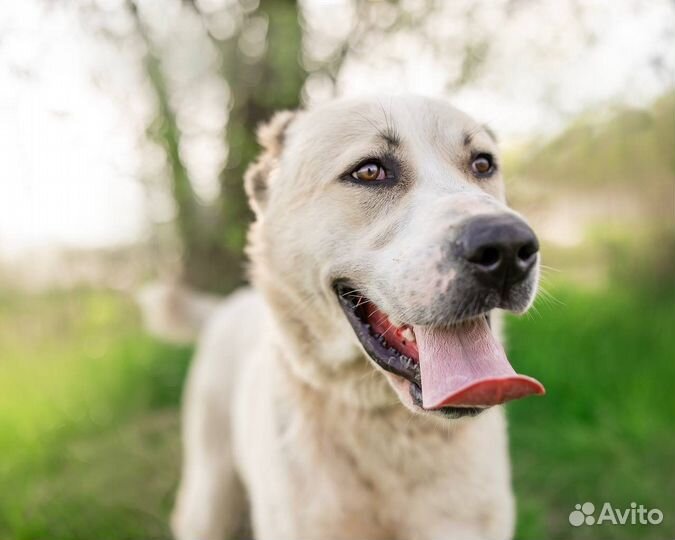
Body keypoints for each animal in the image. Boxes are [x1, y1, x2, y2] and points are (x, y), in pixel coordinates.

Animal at [151, 96, 548, 540]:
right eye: (369, 171)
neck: (389, 426)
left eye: (482, 164)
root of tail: (228, 304)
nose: (508, 247)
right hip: (209, 496)